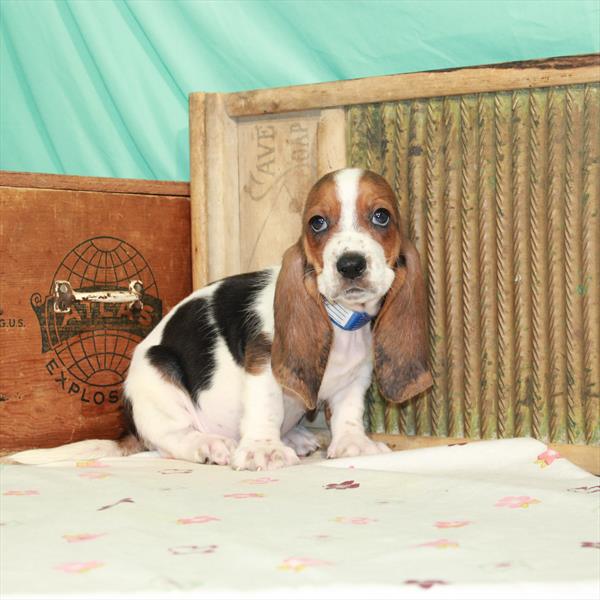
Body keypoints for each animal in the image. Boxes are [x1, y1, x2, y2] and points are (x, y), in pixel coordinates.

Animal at [8, 168, 432, 468]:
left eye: (382, 216)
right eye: (317, 223)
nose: (351, 264)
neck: (340, 319)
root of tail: (130, 426)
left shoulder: (354, 380)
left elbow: (347, 413)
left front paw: (353, 444)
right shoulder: (263, 364)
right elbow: (266, 406)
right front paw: (263, 450)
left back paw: (295, 436)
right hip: (159, 379)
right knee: (172, 440)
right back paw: (210, 444)